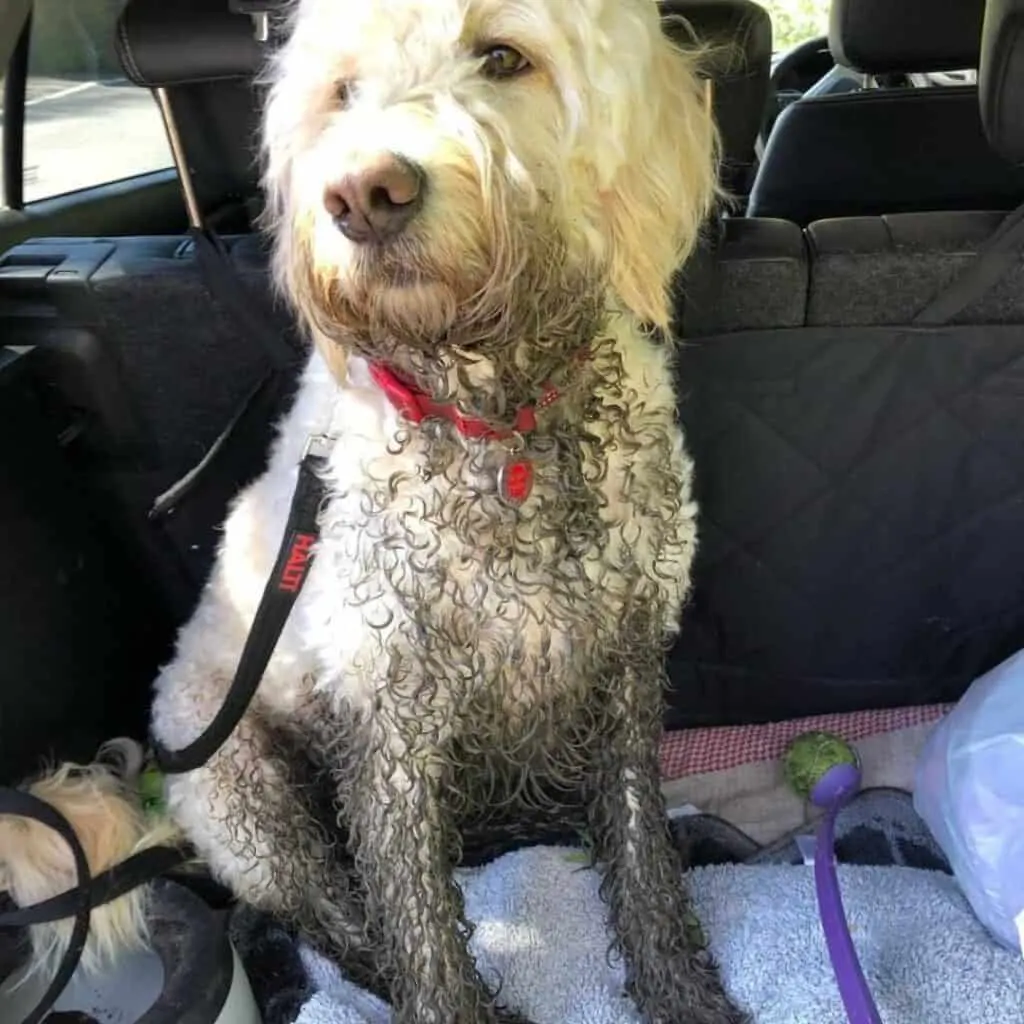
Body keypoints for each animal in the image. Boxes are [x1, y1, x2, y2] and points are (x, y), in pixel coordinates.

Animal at [149, 2, 745, 1024]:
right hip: (238, 791)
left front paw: (680, 992)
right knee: (331, 917)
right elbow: (419, 921)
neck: (496, 419)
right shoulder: (387, 719)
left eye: (502, 56)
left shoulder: (626, 662)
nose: (362, 194)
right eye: (341, 90)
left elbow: (640, 852)